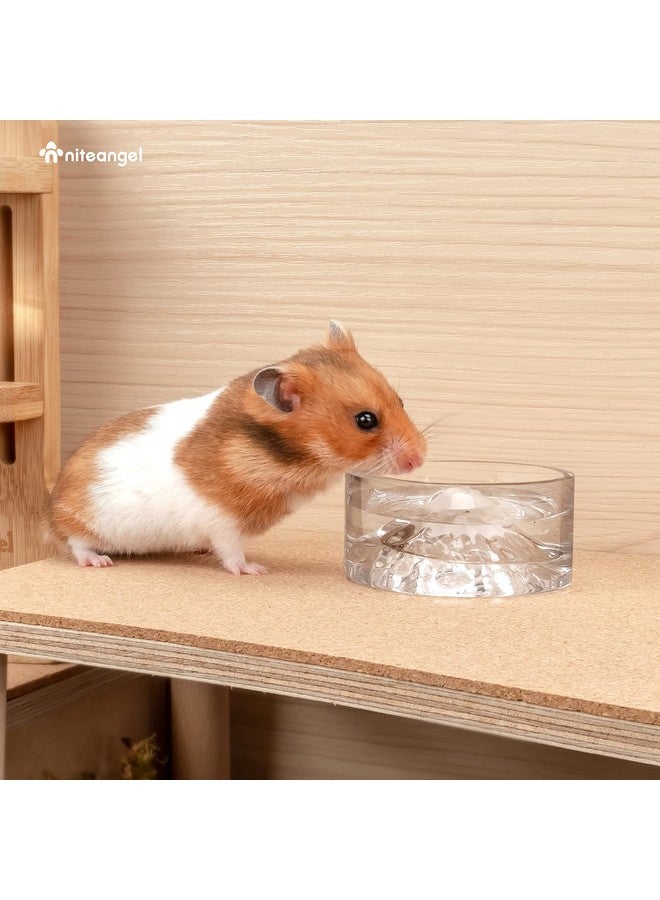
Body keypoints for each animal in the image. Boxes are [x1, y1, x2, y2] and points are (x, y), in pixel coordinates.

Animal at [47, 321, 427, 574]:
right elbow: (232, 553)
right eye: (365, 420)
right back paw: (98, 561)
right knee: (75, 542)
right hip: (84, 521)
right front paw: (255, 570)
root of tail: (51, 506)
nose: (419, 459)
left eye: (400, 400)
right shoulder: (222, 522)